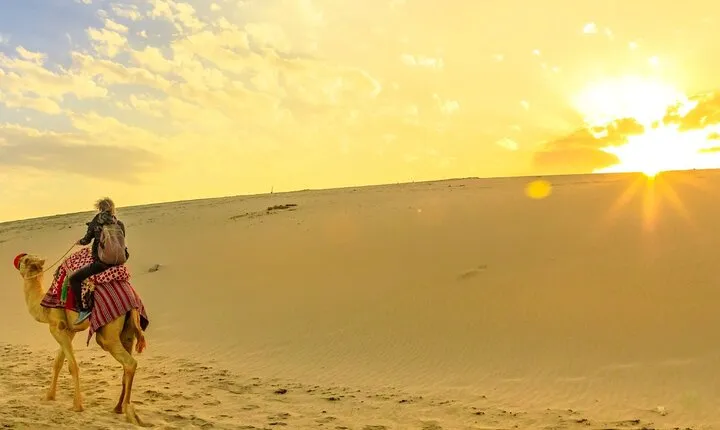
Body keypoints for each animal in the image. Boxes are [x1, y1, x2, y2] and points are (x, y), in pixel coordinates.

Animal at [15, 253, 148, 426]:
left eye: (25, 260)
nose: (17, 260)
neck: (43, 306)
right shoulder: (69, 330)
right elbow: (58, 363)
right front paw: (49, 396)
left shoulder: (57, 327)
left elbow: (72, 365)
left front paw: (77, 405)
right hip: (128, 330)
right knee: (127, 362)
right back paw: (118, 407)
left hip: (108, 332)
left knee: (129, 362)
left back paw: (128, 412)